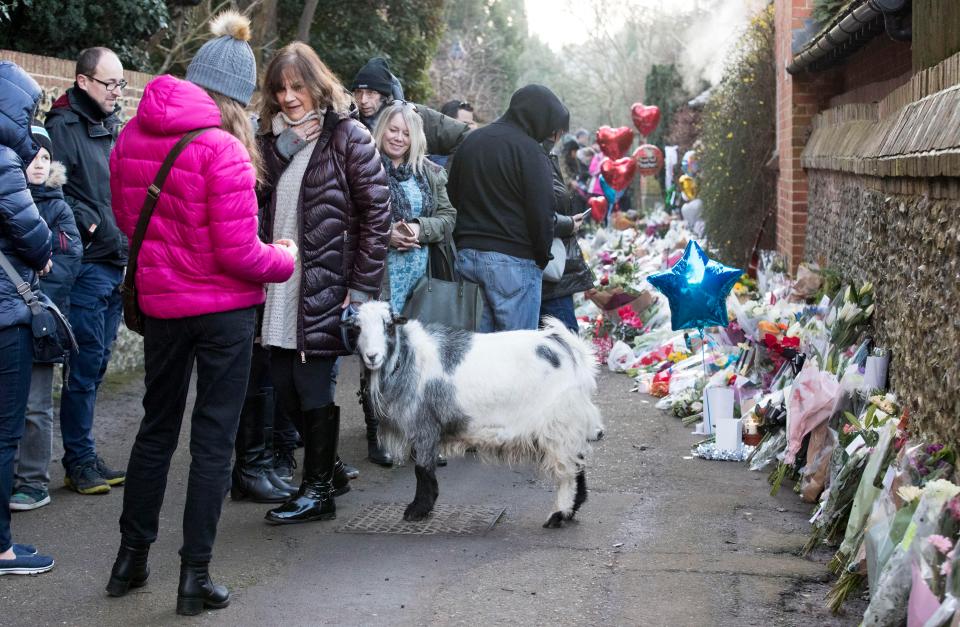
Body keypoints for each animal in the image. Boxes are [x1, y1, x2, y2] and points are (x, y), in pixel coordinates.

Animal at [348, 302, 604, 528]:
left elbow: (421, 469)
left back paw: (559, 514)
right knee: (577, 463)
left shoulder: (425, 426)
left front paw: (417, 510)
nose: (372, 356)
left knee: (568, 471)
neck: (407, 357)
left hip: (559, 422)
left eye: (388, 326)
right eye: (357, 328)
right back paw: (571, 510)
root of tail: (568, 349)